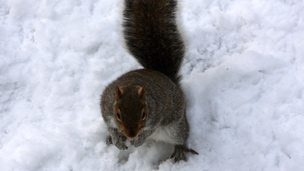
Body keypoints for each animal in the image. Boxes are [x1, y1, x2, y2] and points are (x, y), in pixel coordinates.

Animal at [101, 0, 198, 162]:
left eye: (143, 114)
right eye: (118, 115)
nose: (131, 135)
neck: (131, 86)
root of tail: (170, 80)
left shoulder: (158, 113)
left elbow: (149, 130)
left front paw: (139, 140)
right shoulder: (106, 108)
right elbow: (110, 126)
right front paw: (115, 139)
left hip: (175, 127)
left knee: (182, 136)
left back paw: (179, 150)